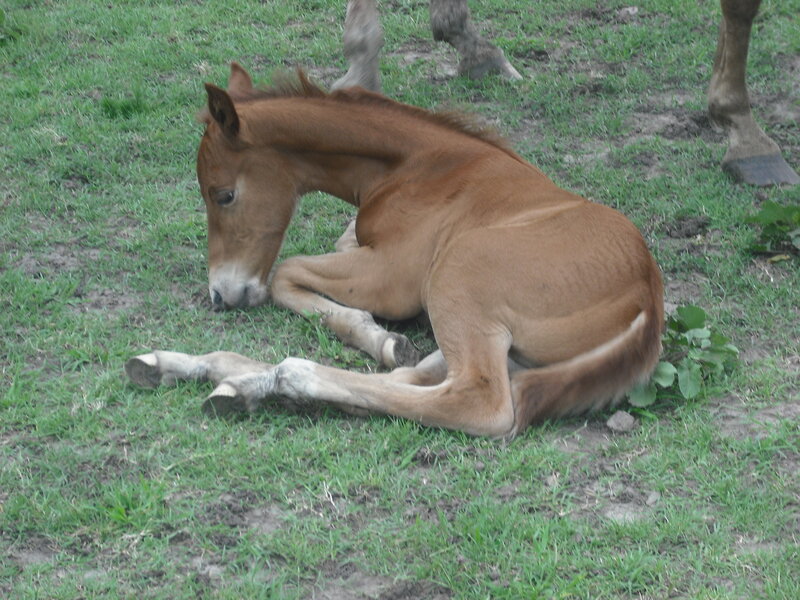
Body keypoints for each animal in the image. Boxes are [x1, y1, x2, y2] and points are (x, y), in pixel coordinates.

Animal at [125, 63, 664, 438]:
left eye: (224, 195)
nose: (222, 294)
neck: (415, 165)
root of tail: (648, 300)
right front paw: (380, 339)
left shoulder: (392, 277)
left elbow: (285, 272)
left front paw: (372, 333)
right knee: (419, 375)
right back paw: (208, 374)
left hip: (457, 276)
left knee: (475, 400)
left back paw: (281, 380)